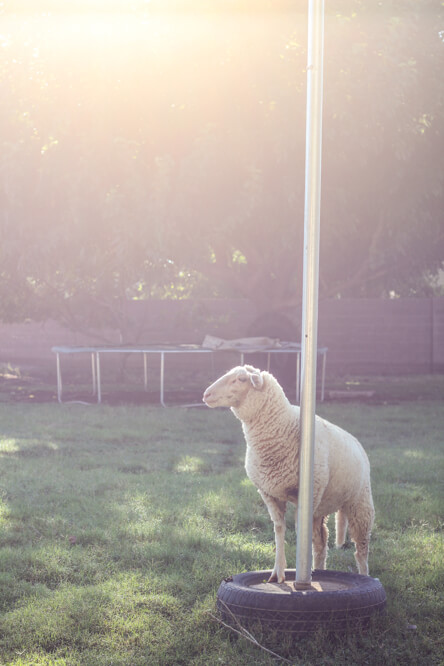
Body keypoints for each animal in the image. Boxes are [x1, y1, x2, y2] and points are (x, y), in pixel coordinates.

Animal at [204, 364, 374, 580]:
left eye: (241, 379)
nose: (206, 394)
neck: (283, 426)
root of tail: (355, 441)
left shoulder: (306, 494)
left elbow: (300, 530)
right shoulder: (269, 493)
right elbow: (279, 529)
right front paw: (278, 573)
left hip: (359, 502)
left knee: (361, 547)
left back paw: (365, 575)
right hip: (322, 505)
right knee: (321, 541)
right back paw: (318, 570)